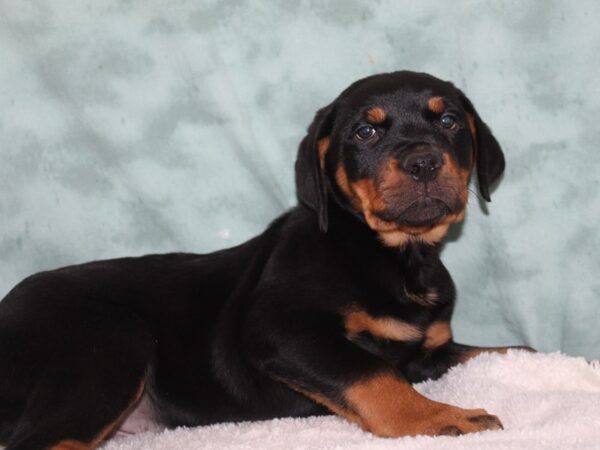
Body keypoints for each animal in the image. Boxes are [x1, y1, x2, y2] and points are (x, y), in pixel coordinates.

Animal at [0, 71, 516, 450]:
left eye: (448, 121)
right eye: (365, 131)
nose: (424, 163)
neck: (398, 257)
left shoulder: (430, 350)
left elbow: (500, 351)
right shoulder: (280, 328)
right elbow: (374, 375)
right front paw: (442, 417)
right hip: (112, 343)